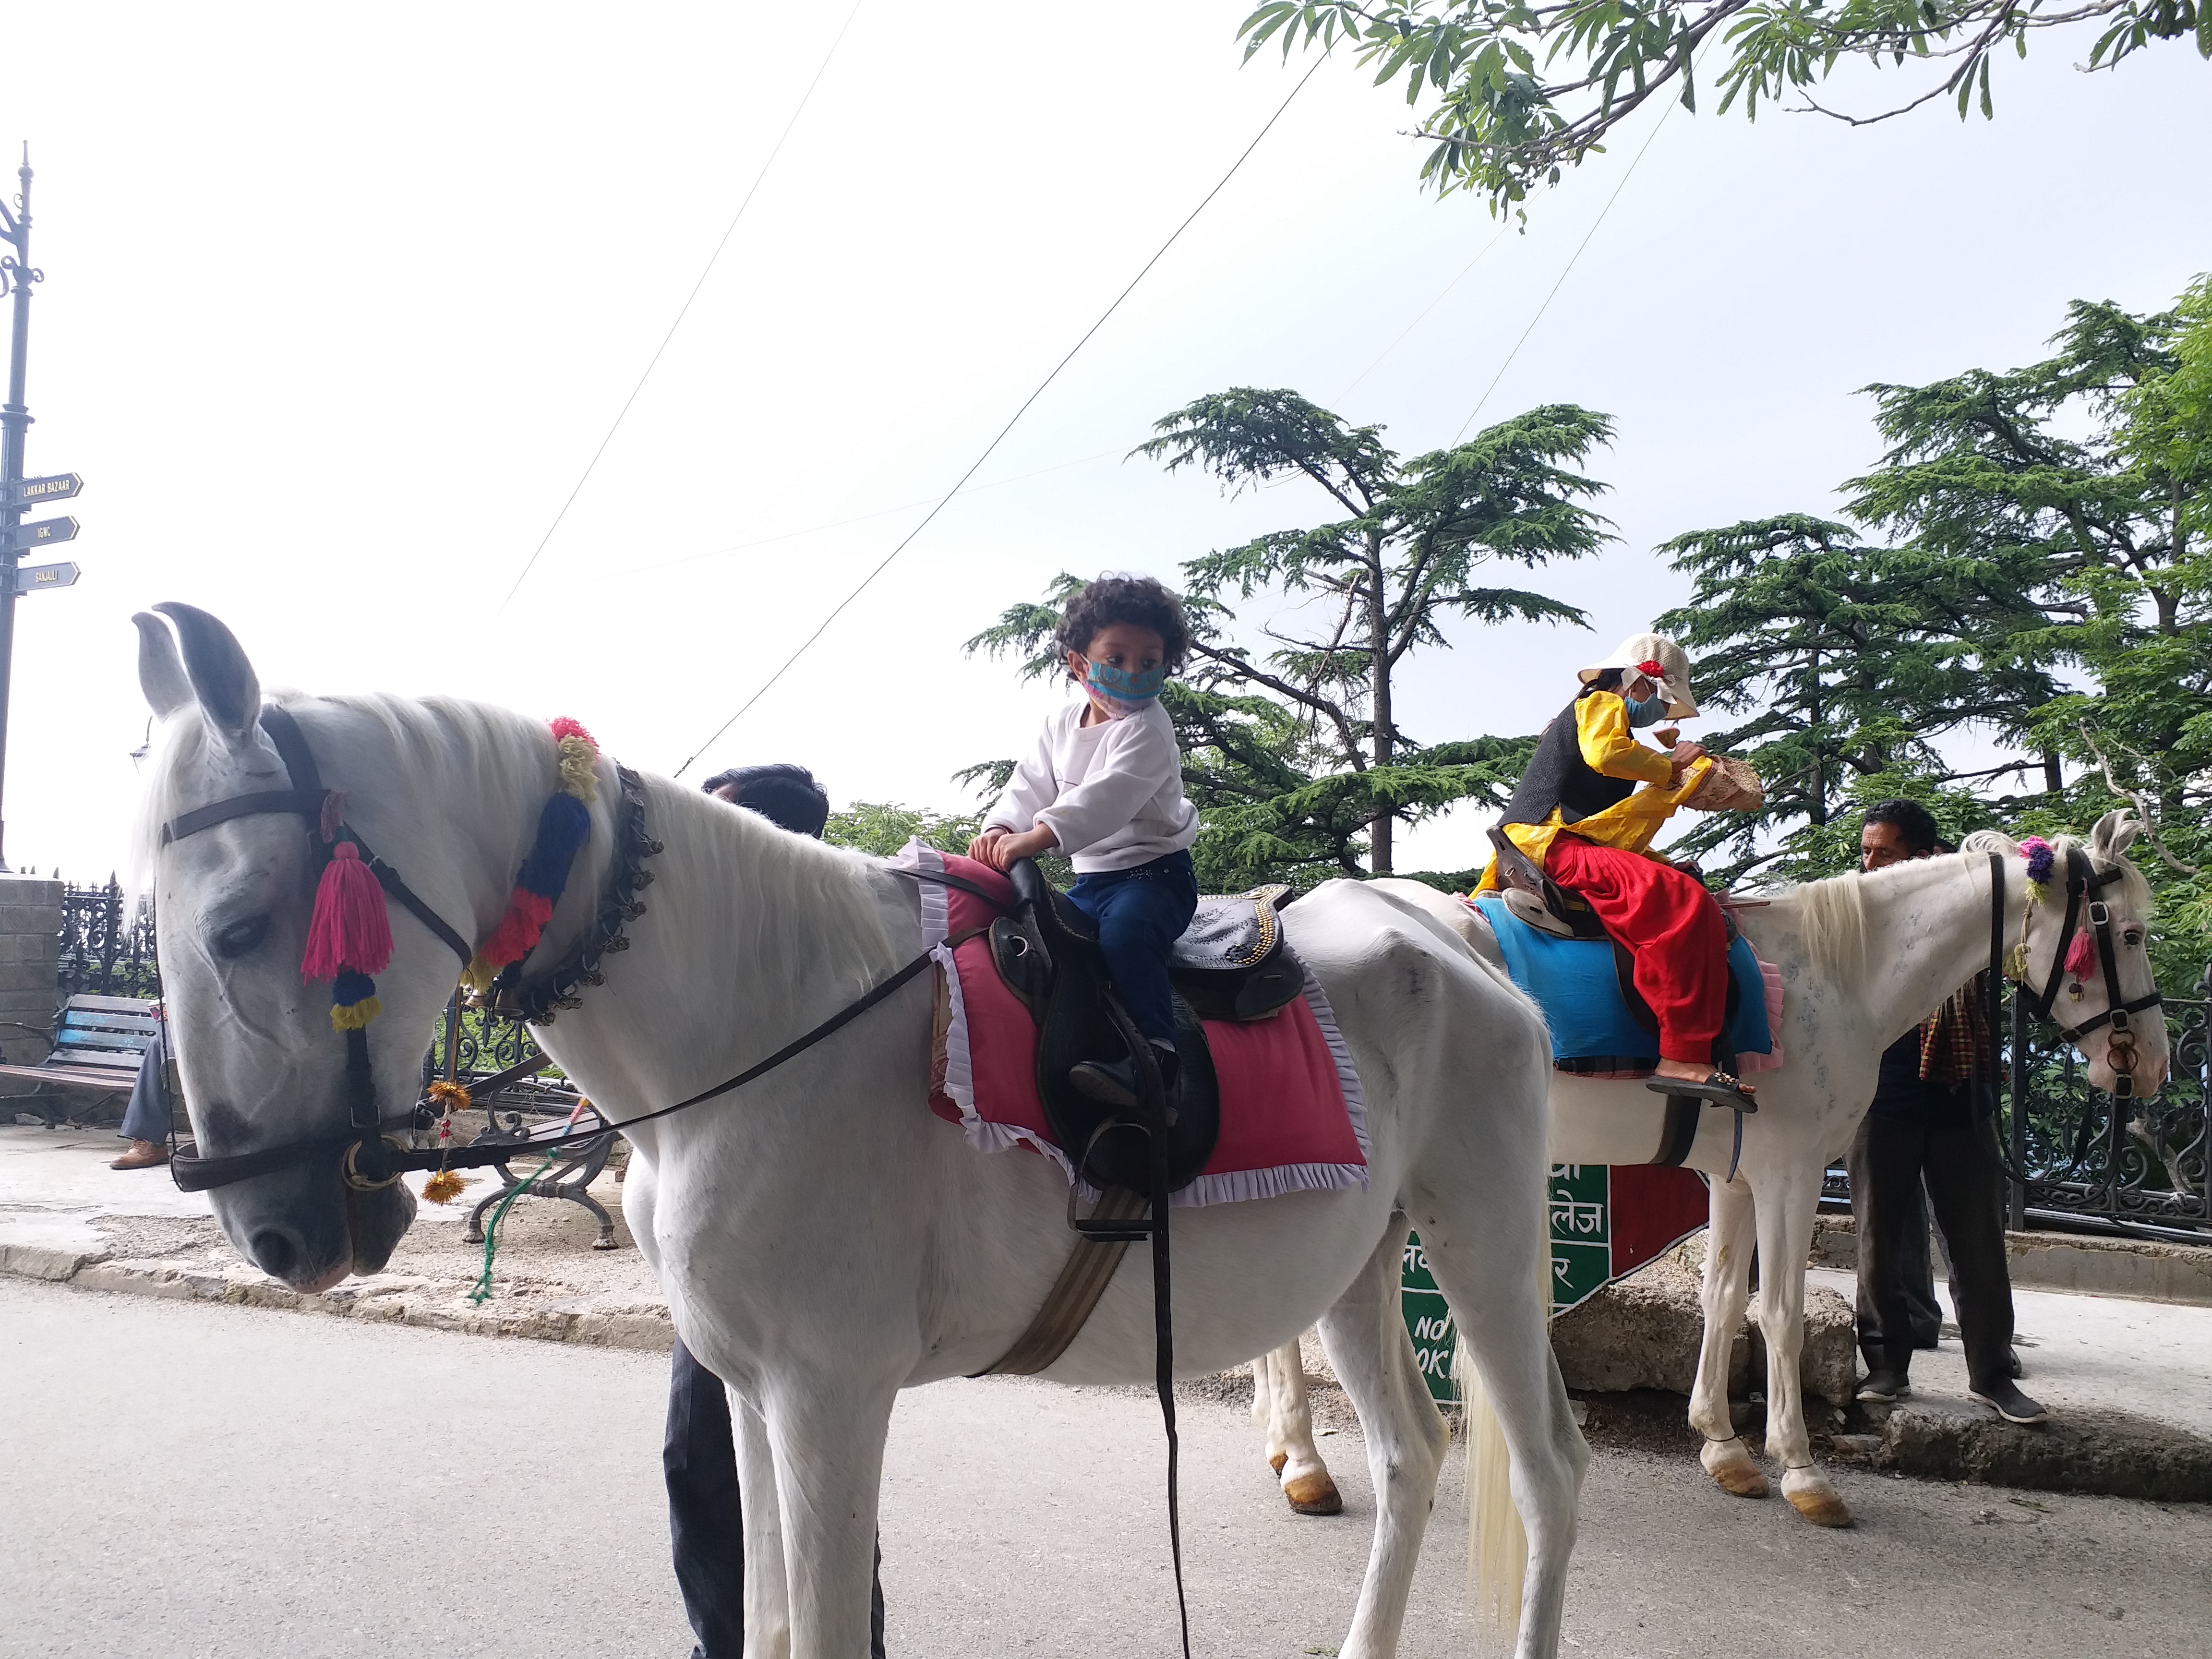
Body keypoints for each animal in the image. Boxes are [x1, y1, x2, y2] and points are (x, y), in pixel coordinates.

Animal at [129, 610, 1584, 1659]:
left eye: (240, 927)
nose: (272, 1228)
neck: (756, 1022)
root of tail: (1447, 927)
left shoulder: (831, 1396)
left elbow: (822, 1632)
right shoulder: (750, 1390)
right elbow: (769, 1625)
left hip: (1486, 1241)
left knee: (1548, 1473)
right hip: (1356, 1267)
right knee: (1412, 1457)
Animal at [1256, 845, 2167, 1530]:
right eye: (2125, 933)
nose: (2149, 1065)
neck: (1832, 974)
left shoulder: (1738, 1175)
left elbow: (1724, 1298)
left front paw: (1723, 1446)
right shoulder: (1793, 1172)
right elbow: (1783, 1315)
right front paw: (1801, 1470)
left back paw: (1288, 1449)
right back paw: (1304, 1460)